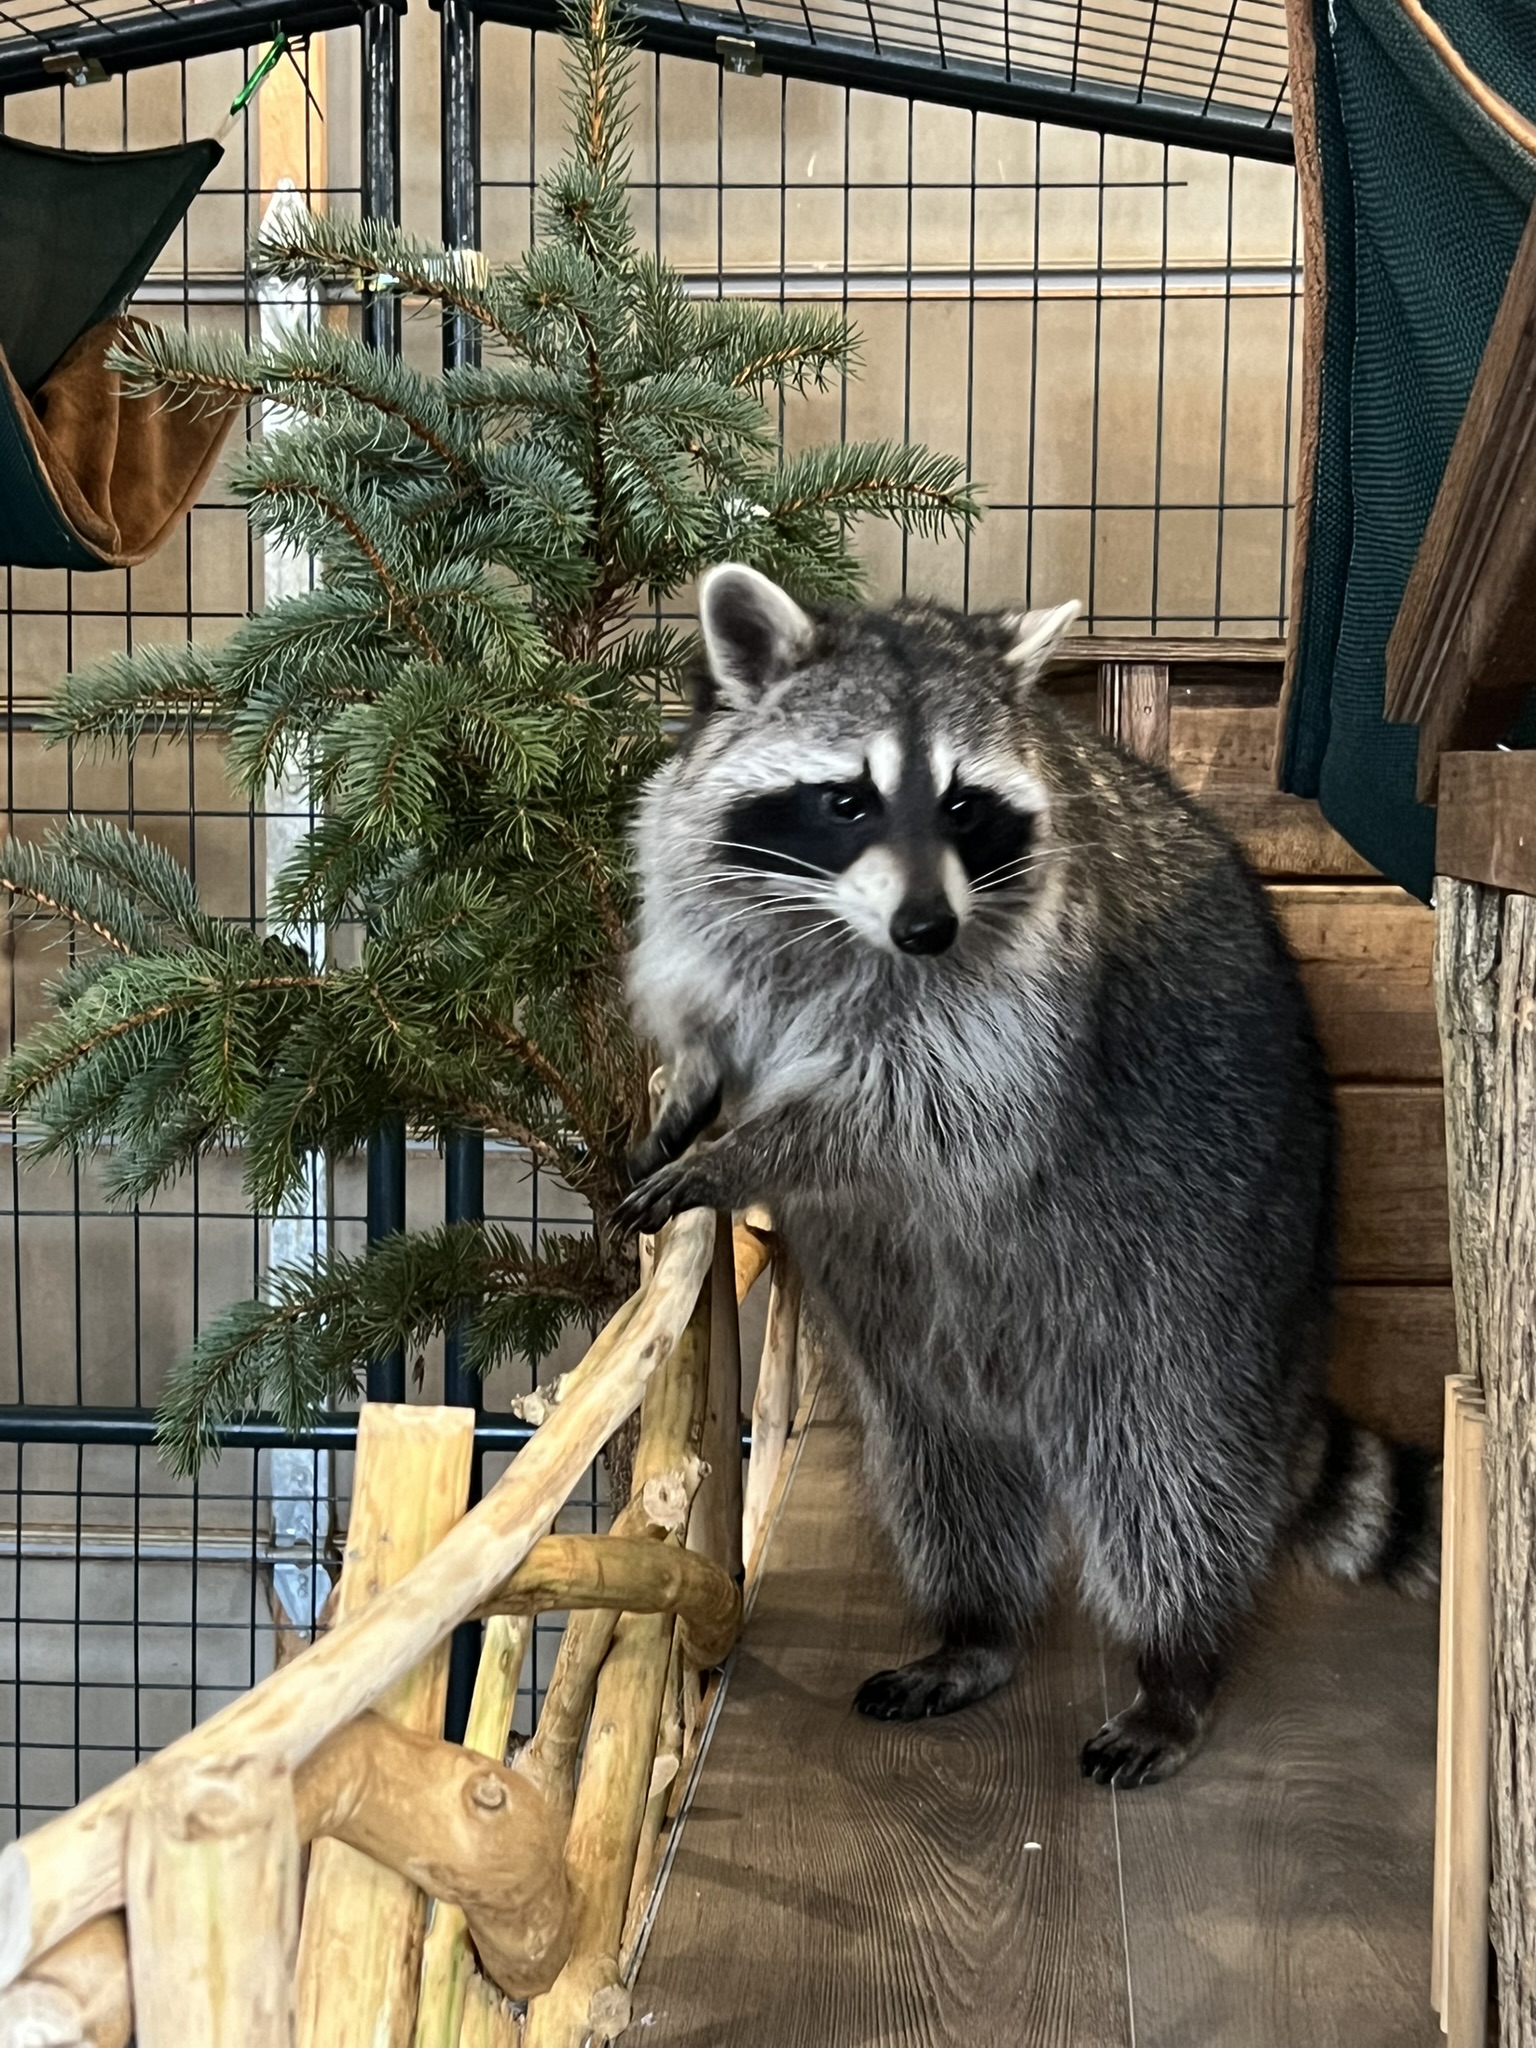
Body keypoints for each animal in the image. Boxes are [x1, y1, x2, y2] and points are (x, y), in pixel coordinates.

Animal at [616, 564, 1439, 1788]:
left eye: (964, 806)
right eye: (848, 801)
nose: (926, 926)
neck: (844, 927)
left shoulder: (1026, 1001)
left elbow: (926, 1113)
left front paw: (751, 1150)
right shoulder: (701, 885)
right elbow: (707, 1014)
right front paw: (690, 1100)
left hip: (1205, 1284)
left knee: (1170, 1477)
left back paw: (1177, 1664)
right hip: (926, 1362)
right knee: (946, 1469)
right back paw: (979, 1627)